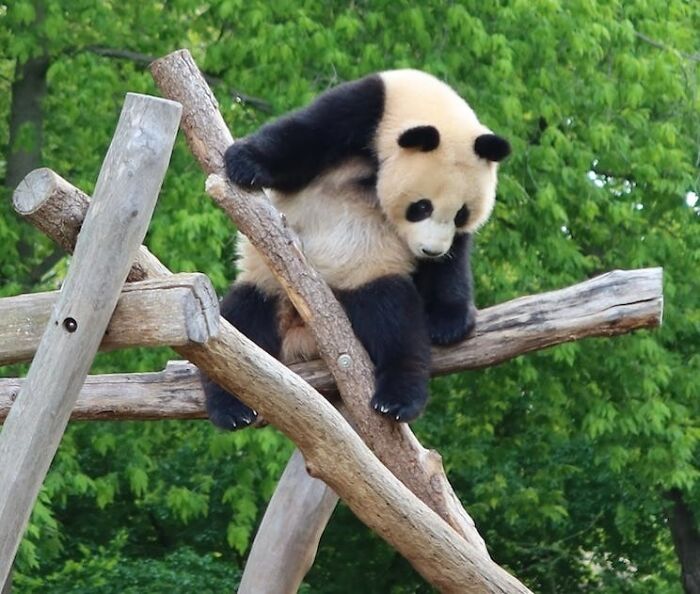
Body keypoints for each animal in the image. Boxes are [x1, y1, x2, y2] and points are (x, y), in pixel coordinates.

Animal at [204, 69, 510, 430]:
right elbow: (301, 140)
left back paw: (397, 399)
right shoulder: (364, 107)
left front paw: (448, 322)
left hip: (366, 275)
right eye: (421, 207)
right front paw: (243, 162)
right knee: (241, 321)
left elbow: (451, 265)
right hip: (268, 282)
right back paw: (232, 408)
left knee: (394, 320)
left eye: (461, 213)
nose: (430, 251)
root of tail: (304, 339)